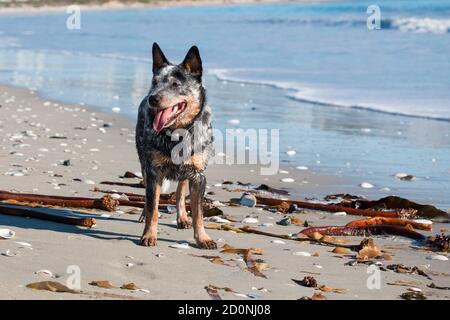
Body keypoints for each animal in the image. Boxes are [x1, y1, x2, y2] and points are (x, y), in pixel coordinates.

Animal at [134, 42, 217, 249]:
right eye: (155, 81)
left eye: (175, 84)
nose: (152, 98)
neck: (179, 133)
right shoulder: (153, 171)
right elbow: (153, 207)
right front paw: (149, 235)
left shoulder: (198, 175)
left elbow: (199, 212)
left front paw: (203, 238)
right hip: (143, 162)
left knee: (180, 191)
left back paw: (182, 217)